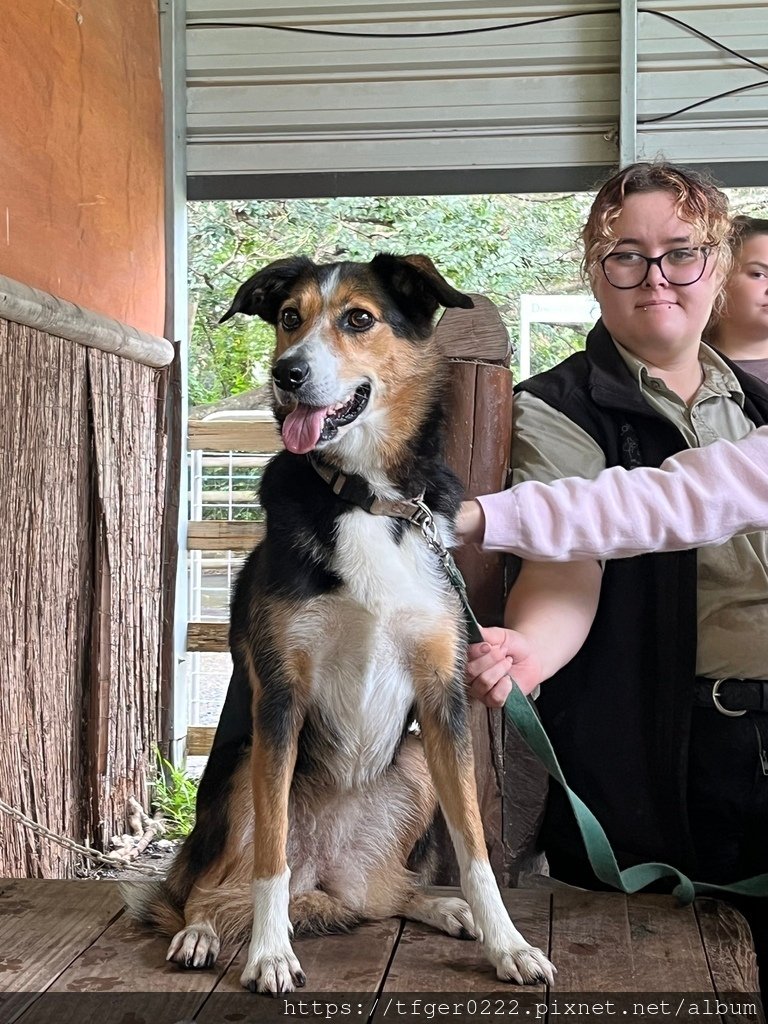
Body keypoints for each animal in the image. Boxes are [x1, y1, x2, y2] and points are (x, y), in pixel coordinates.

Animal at [129, 253, 557, 991]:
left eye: (359, 318)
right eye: (288, 317)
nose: (287, 373)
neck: (366, 498)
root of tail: (325, 871)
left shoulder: (442, 699)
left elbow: (475, 849)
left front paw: (507, 943)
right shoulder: (280, 697)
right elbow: (268, 860)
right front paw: (271, 954)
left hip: (413, 766)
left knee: (382, 896)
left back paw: (442, 909)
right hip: (242, 768)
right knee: (206, 889)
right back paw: (202, 934)